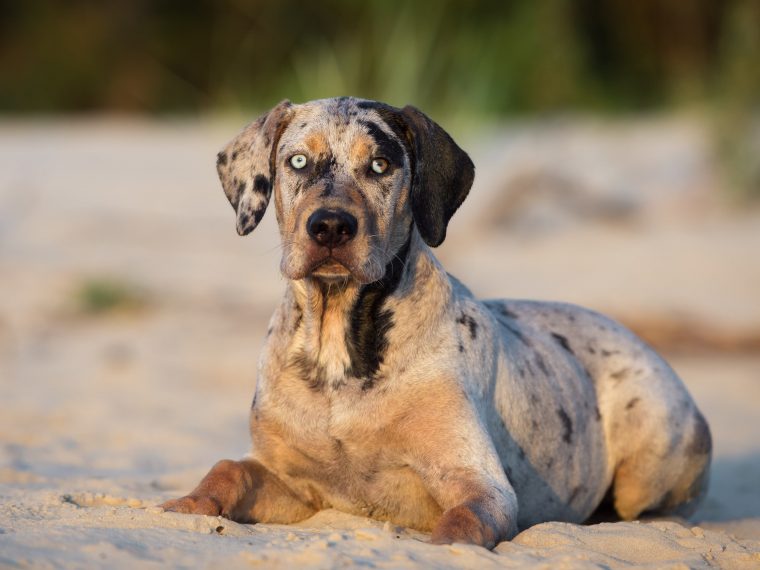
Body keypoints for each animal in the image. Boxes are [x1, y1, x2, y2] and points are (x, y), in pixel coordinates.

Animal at [160, 96, 712, 544]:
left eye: (380, 164)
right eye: (297, 161)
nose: (331, 226)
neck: (339, 351)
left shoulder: (481, 486)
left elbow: (460, 524)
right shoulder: (290, 479)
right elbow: (228, 470)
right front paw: (186, 504)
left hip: (652, 445)